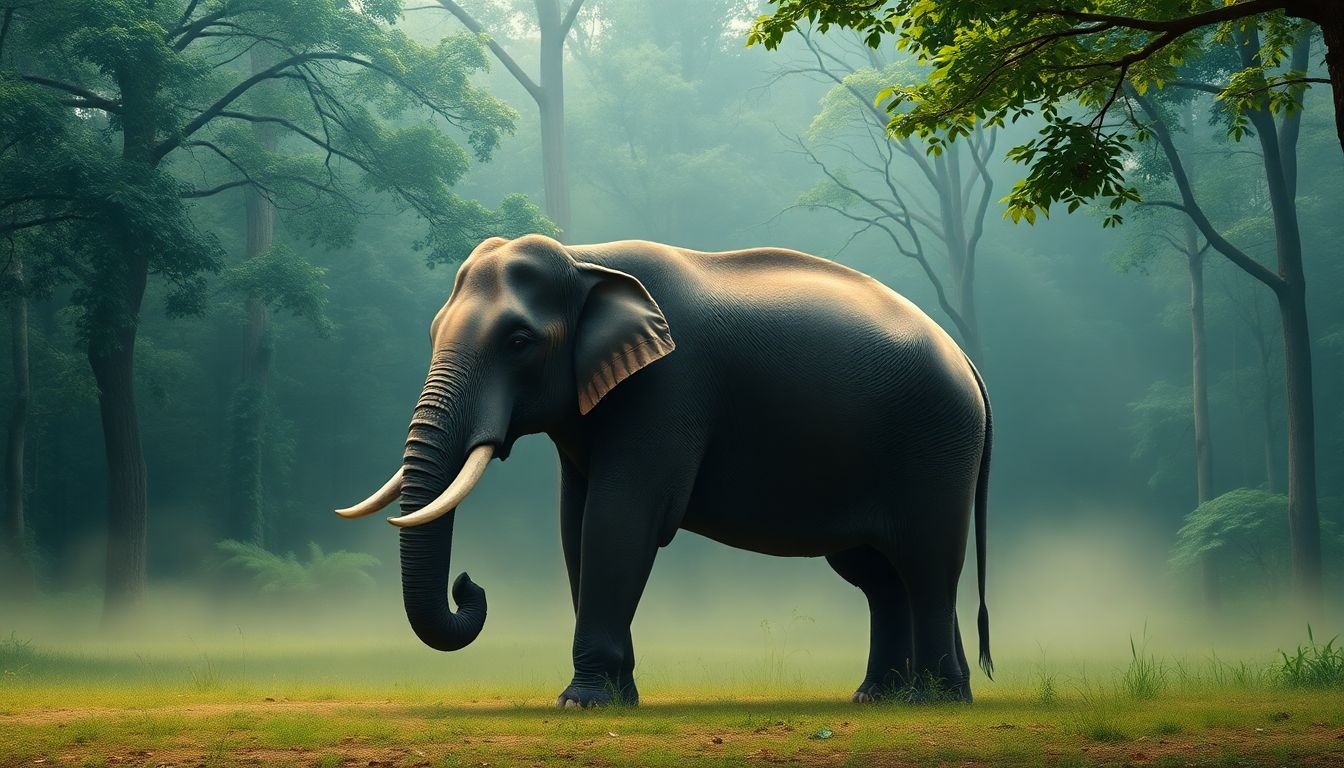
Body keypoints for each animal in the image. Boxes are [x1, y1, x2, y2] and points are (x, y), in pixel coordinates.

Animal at [337, 234, 993, 707]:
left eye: (519, 341)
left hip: (936, 445)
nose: (468, 584)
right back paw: (883, 698)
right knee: (879, 575)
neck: (585, 257)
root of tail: (969, 363)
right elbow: (575, 526)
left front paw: (581, 704)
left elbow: (620, 520)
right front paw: (616, 698)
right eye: (431, 332)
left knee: (926, 564)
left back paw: (936, 701)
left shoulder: (668, 389)